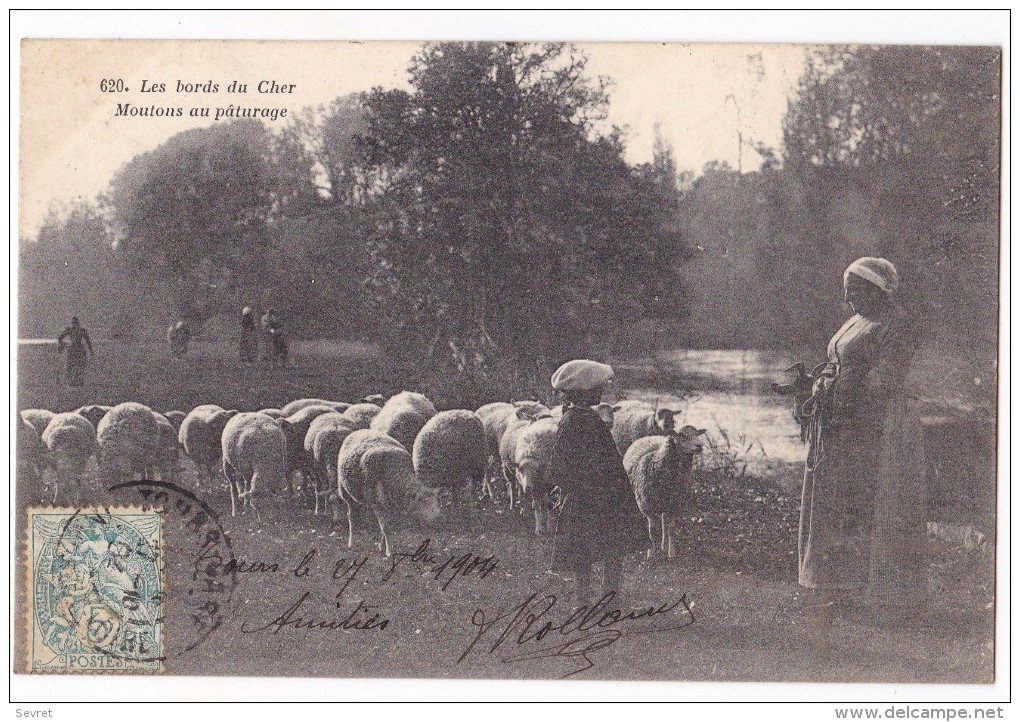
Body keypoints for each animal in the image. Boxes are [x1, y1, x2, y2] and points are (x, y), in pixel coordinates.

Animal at [620, 426, 709, 562]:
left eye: (697, 434)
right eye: (682, 436)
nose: (699, 446)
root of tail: (648, 437)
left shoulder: (675, 505)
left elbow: (671, 529)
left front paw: (671, 553)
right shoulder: (648, 506)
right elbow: (651, 530)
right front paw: (651, 553)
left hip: (666, 503)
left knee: (664, 522)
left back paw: (663, 545)